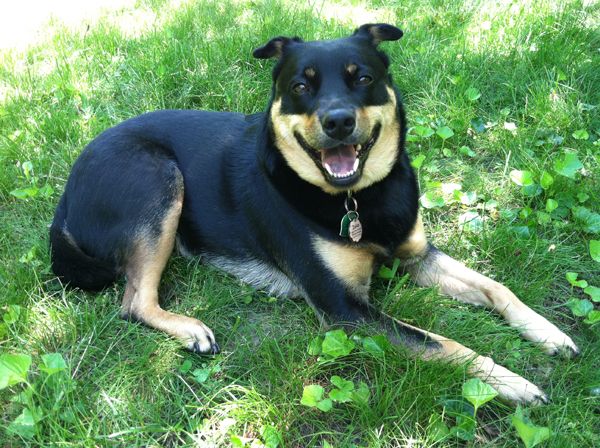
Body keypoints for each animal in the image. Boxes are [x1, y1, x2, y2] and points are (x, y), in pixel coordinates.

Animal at [50, 22, 576, 404]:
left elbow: (496, 288)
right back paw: (190, 328)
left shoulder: (417, 256)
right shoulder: (346, 310)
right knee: (134, 302)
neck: (357, 197)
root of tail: (66, 192)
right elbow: (443, 343)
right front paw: (509, 381)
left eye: (363, 78)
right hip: (158, 179)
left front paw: (549, 333)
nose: (338, 121)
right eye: (302, 85)